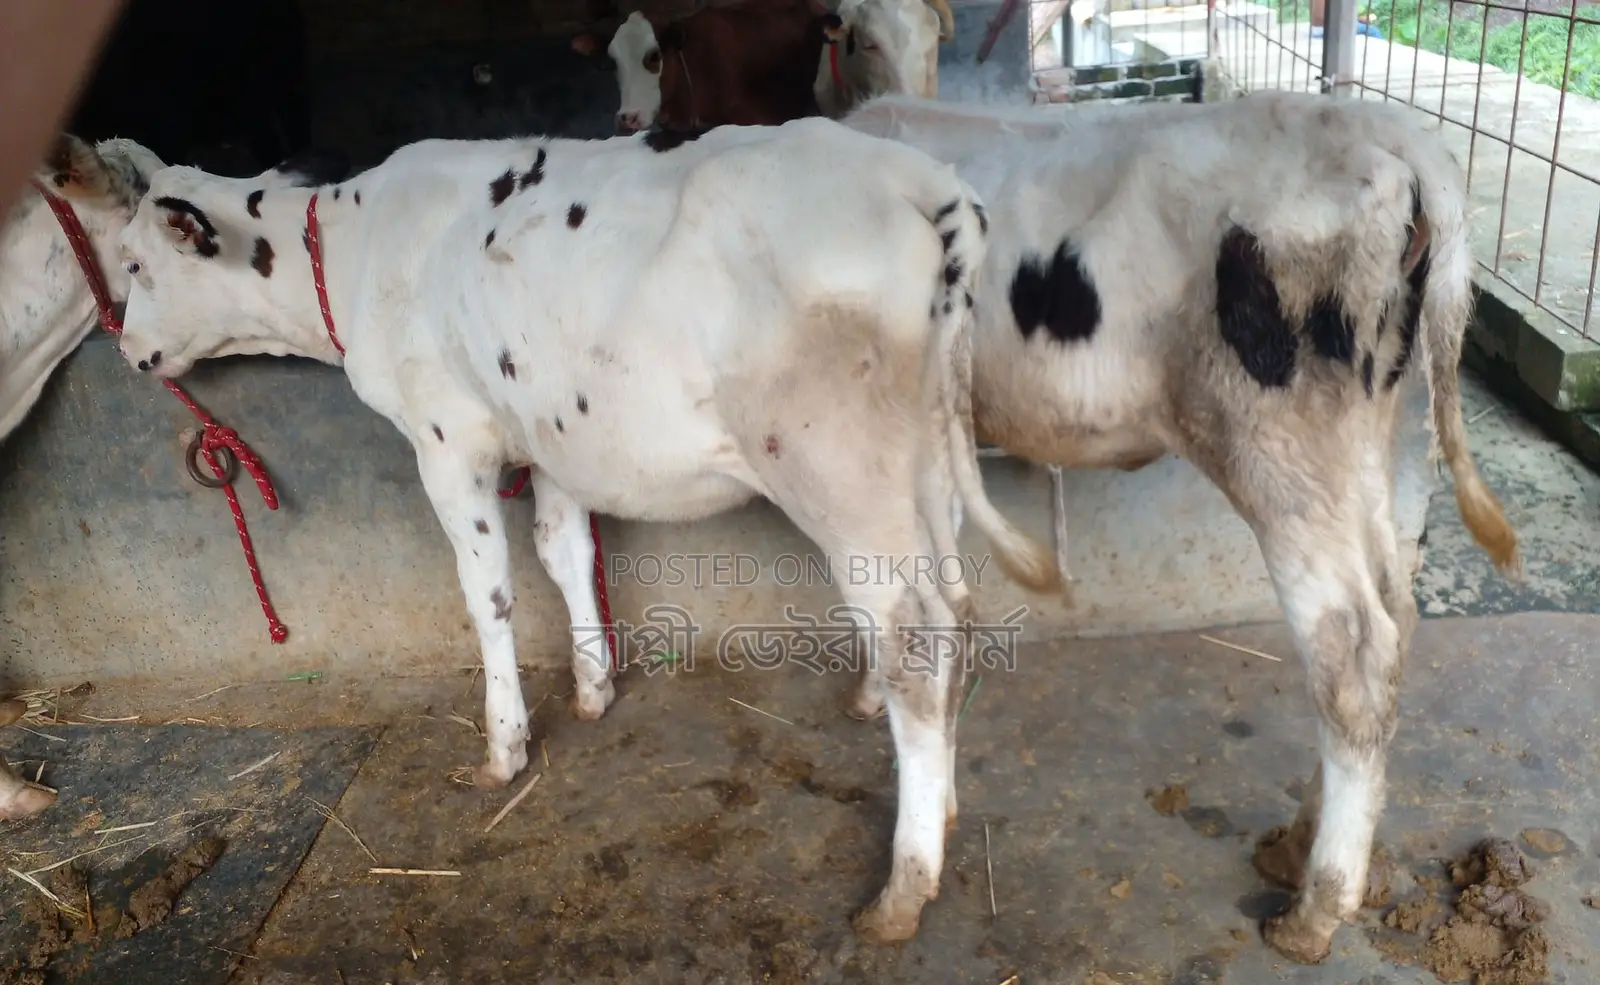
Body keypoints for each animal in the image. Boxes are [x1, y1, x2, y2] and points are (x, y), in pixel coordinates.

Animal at [104, 117, 1062, 940]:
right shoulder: (552, 443)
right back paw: (938, 801)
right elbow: (564, 554)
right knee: (952, 608)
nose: (124, 350)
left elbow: (486, 590)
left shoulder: (447, 439)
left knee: (910, 639)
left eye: (138, 264)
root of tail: (923, 180)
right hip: (925, 460)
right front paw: (594, 686)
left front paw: (503, 747)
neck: (356, 249)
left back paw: (903, 885)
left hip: (838, 469)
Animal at [841, 91, 1521, 961]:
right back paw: (1298, 842)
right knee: (1394, 609)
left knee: (1353, 648)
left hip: (1282, 452)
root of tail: (1389, 133)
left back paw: (1316, 907)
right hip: (1367, 439)